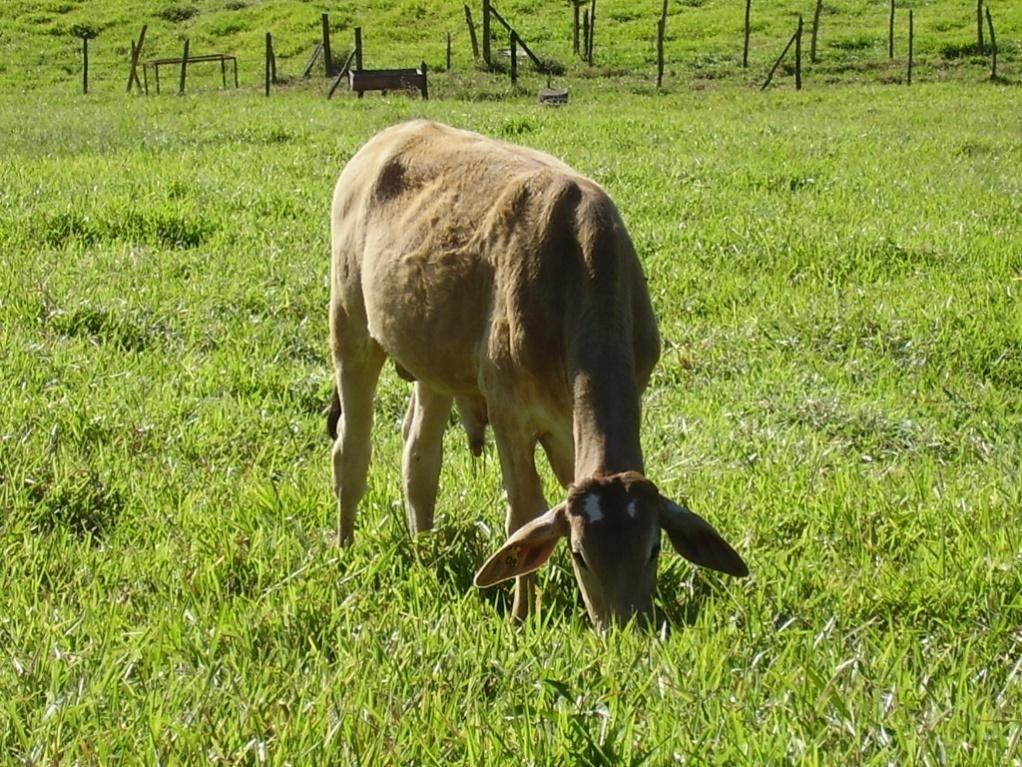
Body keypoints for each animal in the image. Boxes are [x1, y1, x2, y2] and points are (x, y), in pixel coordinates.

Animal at [331, 120, 748, 629]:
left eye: (653, 549)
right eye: (579, 555)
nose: (625, 628)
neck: (576, 269)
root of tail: (385, 139)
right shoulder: (508, 410)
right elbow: (523, 514)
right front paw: (521, 612)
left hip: (431, 360)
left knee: (420, 458)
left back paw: (425, 549)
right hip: (349, 325)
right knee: (351, 448)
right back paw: (346, 547)